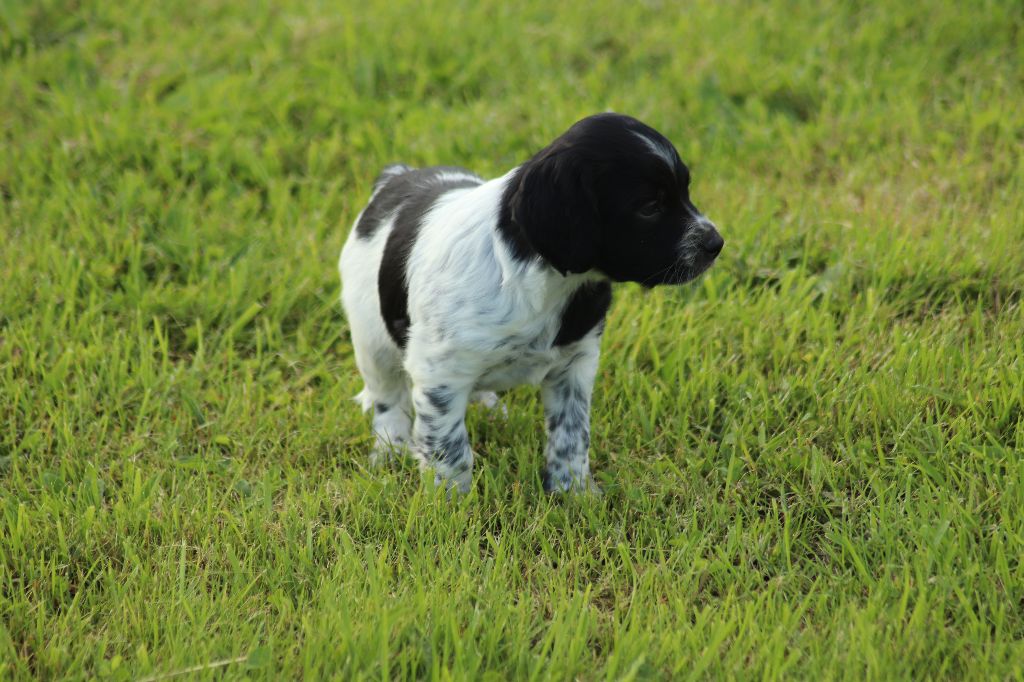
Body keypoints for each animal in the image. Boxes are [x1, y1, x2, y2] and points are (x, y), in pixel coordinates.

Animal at [339, 112, 724, 493]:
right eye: (649, 207)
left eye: (685, 191)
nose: (716, 243)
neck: (546, 284)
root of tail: (396, 176)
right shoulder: (440, 373)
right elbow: (450, 448)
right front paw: (452, 501)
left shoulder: (575, 364)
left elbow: (571, 436)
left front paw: (574, 494)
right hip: (372, 339)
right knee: (389, 399)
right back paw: (390, 450)